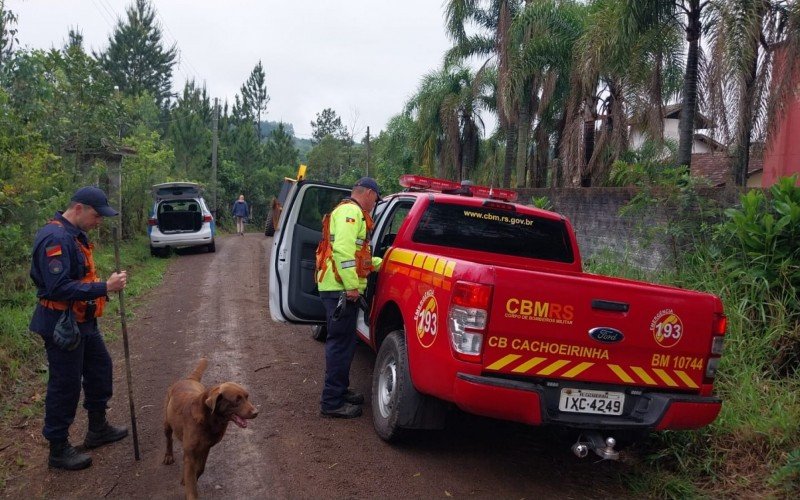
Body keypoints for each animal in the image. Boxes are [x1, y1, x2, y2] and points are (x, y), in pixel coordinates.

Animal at [163, 358, 260, 498]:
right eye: (237, 400)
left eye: (247, 397)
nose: (256, 412)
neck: (210, 420)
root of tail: (189, 379)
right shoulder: (190, 454)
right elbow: (191, 483)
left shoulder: (206, 447)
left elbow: (199, 470)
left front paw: (186, 479)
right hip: (167, 422)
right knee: (168, 439)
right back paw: (168, 456)